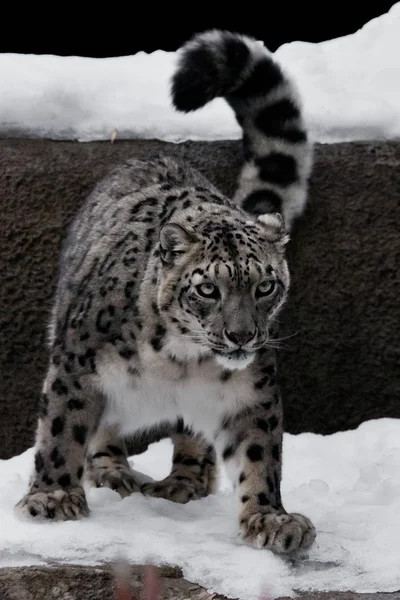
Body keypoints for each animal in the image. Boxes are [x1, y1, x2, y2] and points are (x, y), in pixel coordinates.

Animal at [15, 28, 316, 552]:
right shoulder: (76, 366)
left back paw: (184, 480)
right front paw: (51, 498)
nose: (242, 336)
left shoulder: (251, 392)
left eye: (265, 285)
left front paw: (271, 519)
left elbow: (260, 454)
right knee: (102, 428)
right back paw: (113, 470)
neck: (181, 360)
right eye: (208, 289)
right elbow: (62, 429)